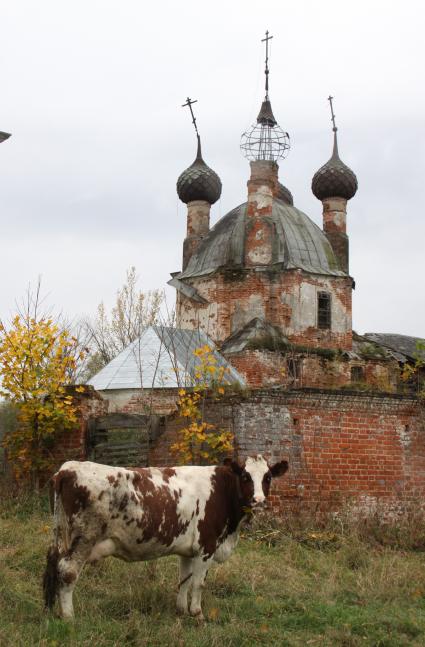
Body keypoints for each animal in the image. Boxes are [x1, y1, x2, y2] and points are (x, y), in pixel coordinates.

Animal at [43, 454, 288, 620]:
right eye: (246, 476)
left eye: (267, 477)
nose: (259, 501)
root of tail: (67, 469)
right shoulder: (206, 546)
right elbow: (198, 583)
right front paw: (197, 614)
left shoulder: (188, 550)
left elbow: (184, 580)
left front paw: (181, 611)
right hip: (83, 539)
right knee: (67, 571)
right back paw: (69, 616)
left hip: (63, 536)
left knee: (55, 565)